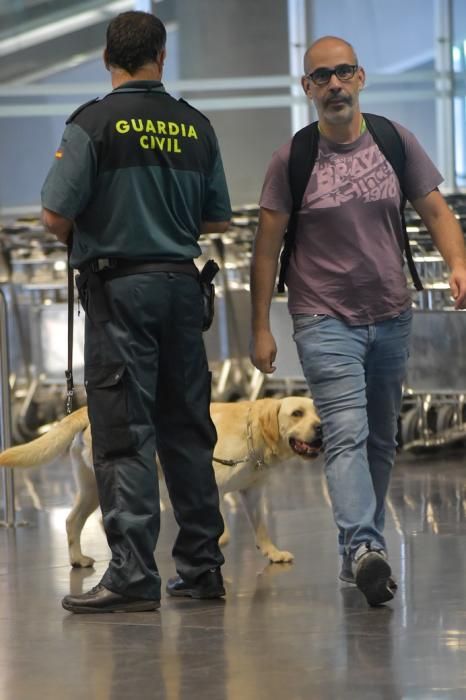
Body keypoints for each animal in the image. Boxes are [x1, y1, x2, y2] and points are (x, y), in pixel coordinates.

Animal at [0, 396, 320, 568]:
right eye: (297, 413)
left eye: (318, 411)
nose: (321, 427)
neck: (253, 432)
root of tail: (86, 409)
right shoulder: (209, 480)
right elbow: (216, 520)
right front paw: (218, 540)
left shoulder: (253, 491)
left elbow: (261, 525)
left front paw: (272, 551)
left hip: (89, 487)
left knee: (72, 520)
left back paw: (78, 558)